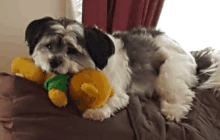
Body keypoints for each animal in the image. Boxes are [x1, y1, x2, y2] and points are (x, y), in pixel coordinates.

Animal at [24, 17, 198, 122]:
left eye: (72, 51)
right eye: (49, 46)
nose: (53, 61)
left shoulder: (118, 91)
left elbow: (111, 99)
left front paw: (97, 111)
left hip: (170, 72)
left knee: (181, 94)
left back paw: (174, 110)